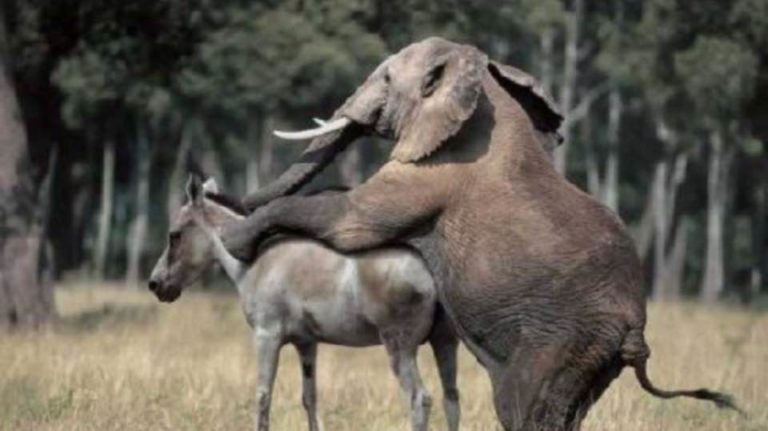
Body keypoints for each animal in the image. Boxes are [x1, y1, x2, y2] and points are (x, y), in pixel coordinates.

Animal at [220, 37, 739, 430]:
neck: (482, 86)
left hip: (562, 342)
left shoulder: (435, 172)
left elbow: (350, 221)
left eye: (386, 79)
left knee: (523, 408)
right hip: (592, 355)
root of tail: (635, 329)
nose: (221, 192)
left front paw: (236, 242)